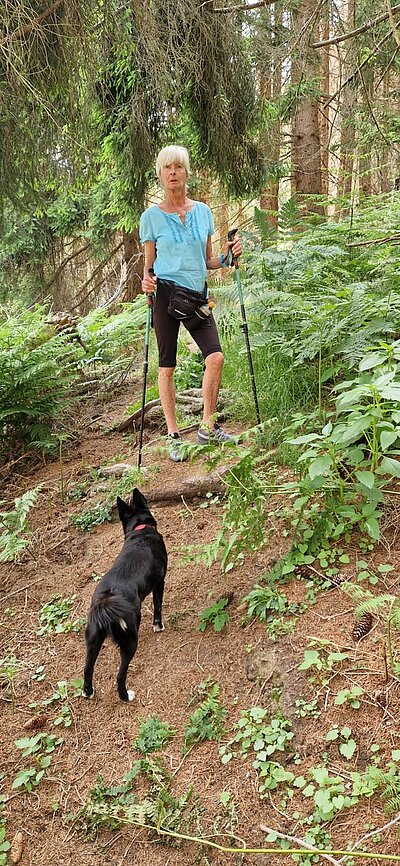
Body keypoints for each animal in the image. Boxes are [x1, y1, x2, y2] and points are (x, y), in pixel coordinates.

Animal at [82, 490, 166, 700]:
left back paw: (88, 692)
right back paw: (125, 696)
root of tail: (106, 600)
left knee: (87, 668)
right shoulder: (159, 582)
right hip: (128, 641)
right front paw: (158, 626)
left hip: (93, 639)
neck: (140, 530)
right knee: (120, 675)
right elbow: (158, 606)